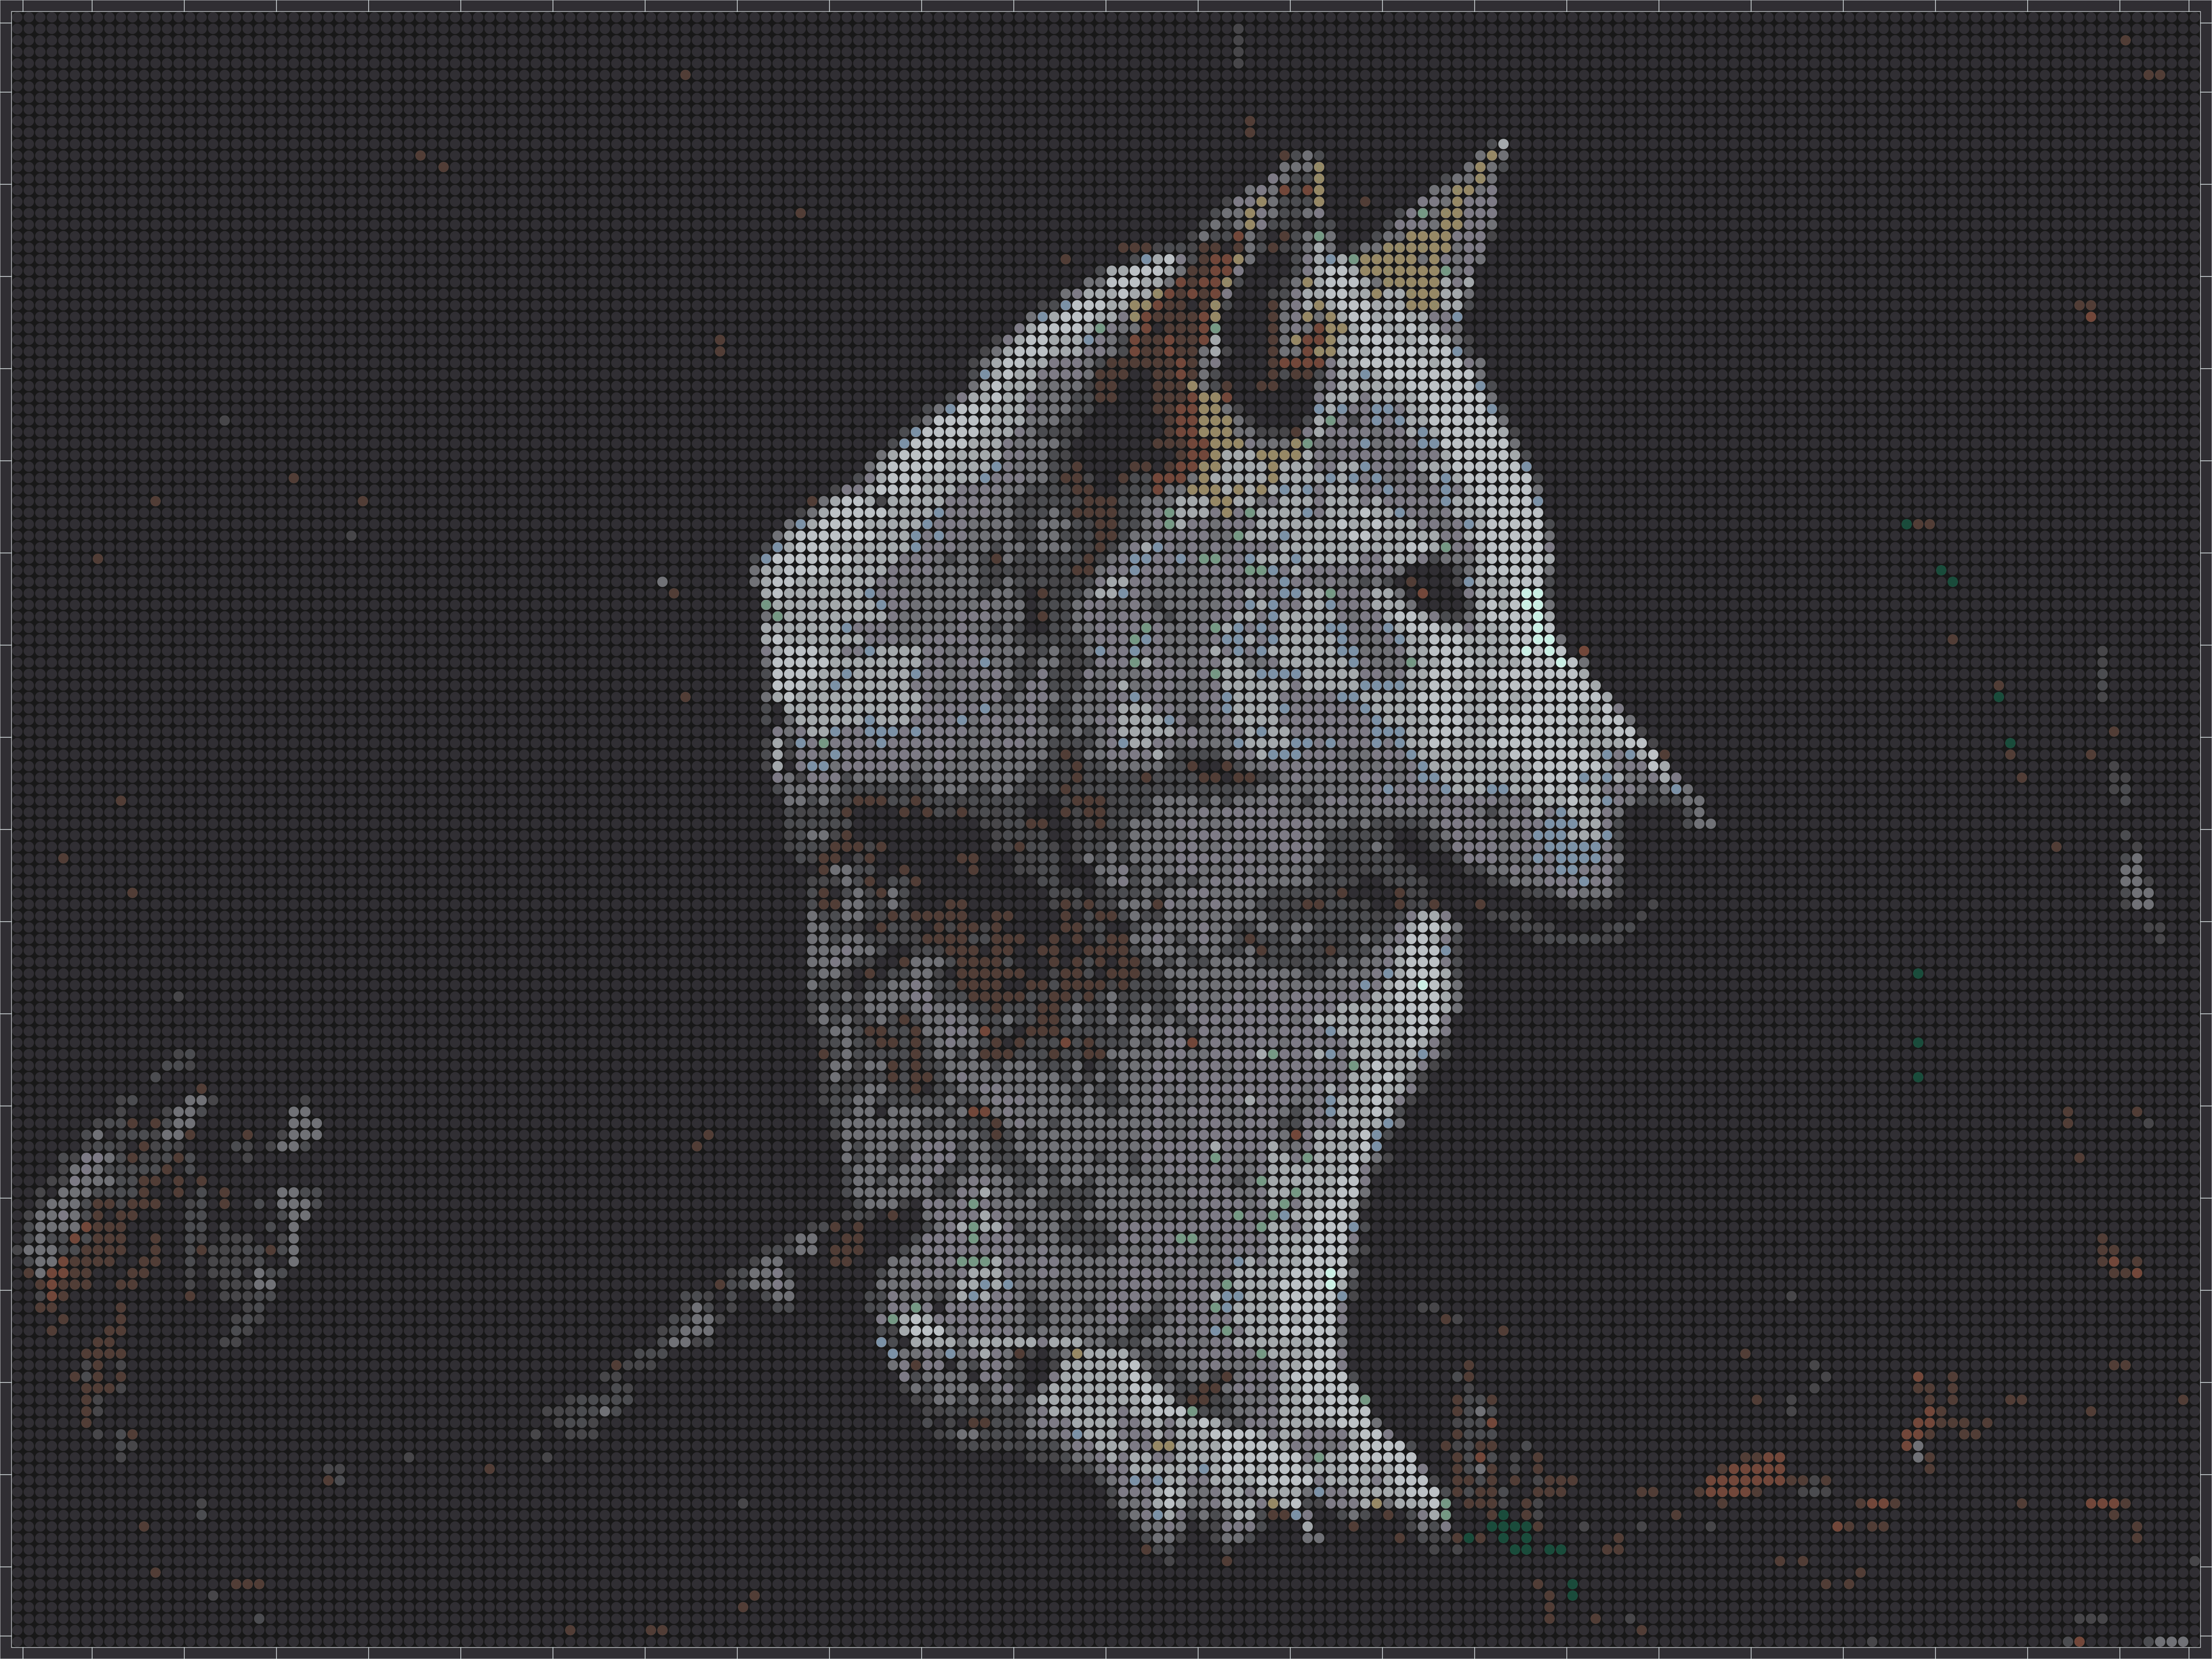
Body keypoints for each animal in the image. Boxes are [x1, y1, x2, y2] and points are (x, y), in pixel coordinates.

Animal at [549, 149, 1711, 1557]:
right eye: (1431, 588)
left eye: (1537, 593)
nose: (1693, 840)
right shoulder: (913, 1279)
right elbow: (1058, 1361)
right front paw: (1216, 1473)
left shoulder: (1264, 1283)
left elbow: (1316, 1396)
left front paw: (1368, 1478)